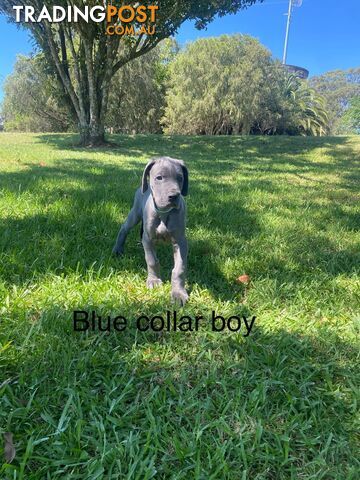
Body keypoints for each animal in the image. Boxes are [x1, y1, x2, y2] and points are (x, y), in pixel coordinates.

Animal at [114, 158, 190, 308]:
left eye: (180, 178)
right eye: (159, 177)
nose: (174, 196)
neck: (164, 213)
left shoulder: (180, 242)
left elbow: (179, 268)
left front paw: (178, 293)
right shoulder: (147, 239)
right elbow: (152, 260)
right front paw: (154, 281)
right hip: (135, 214)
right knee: (124, 228)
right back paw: (118, 249)